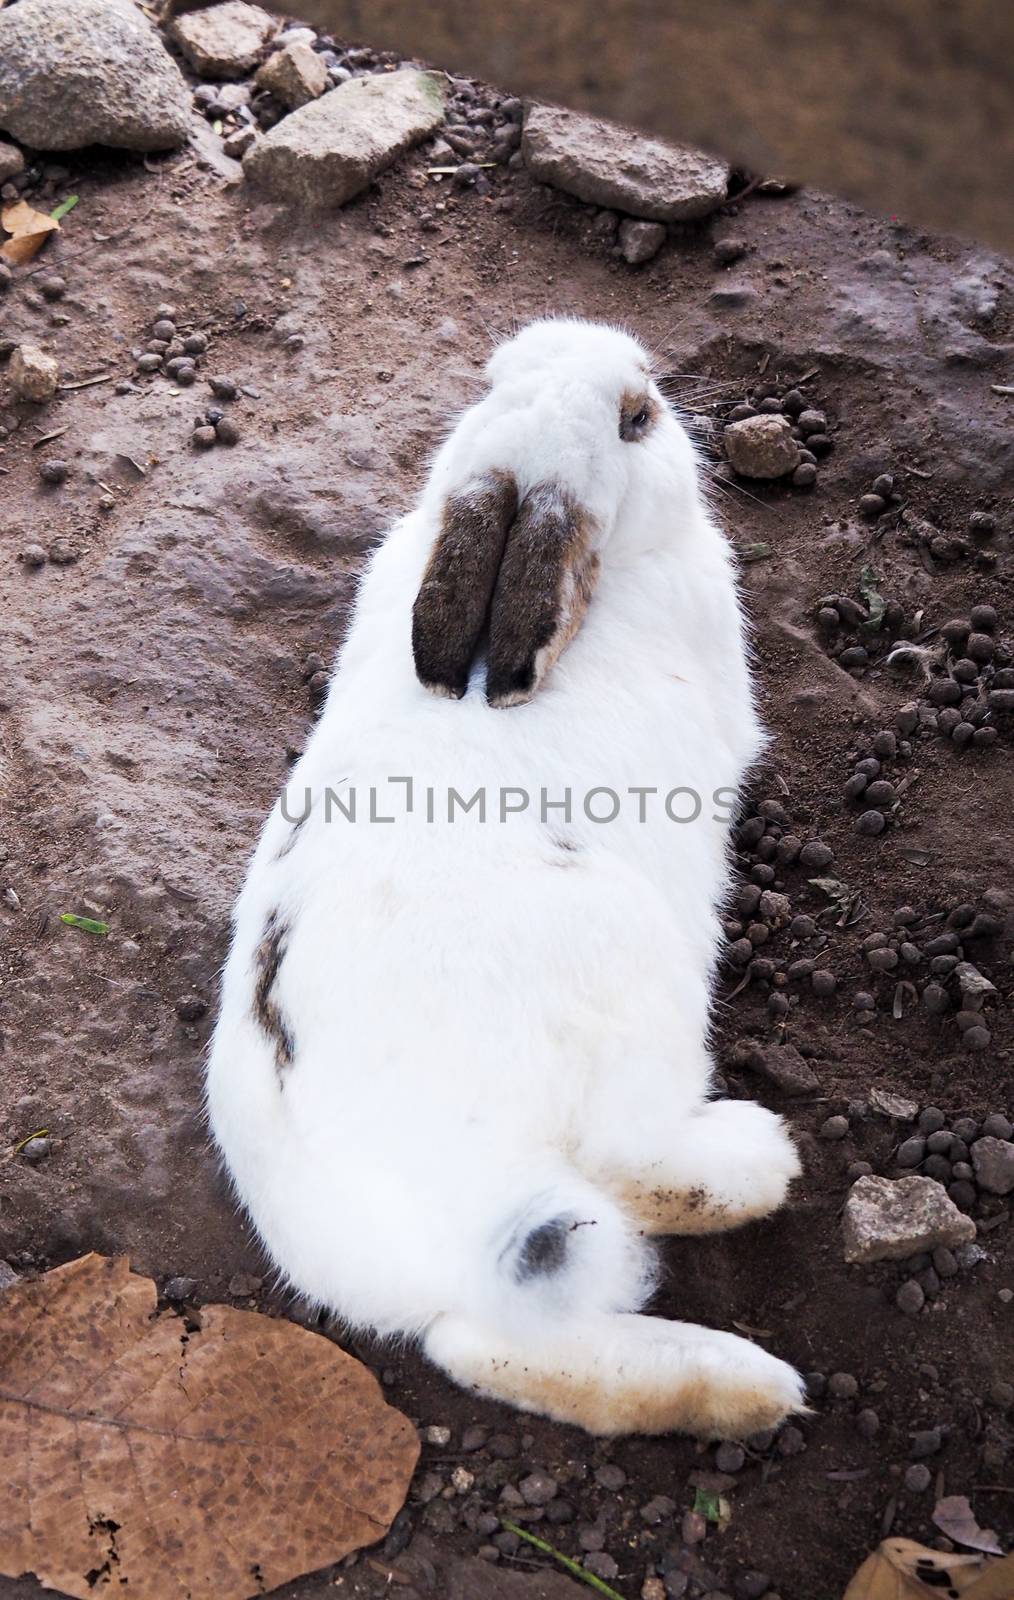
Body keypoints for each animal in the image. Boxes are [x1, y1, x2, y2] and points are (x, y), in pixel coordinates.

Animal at [207, 312, 806, 1440]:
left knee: (489, 1345)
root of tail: (441, 1213)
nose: (642, 367)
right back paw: (763, 1169)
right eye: (637, 418)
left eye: (488, 380)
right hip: (630, 977)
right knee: (627, 1158)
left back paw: (735, 1387)